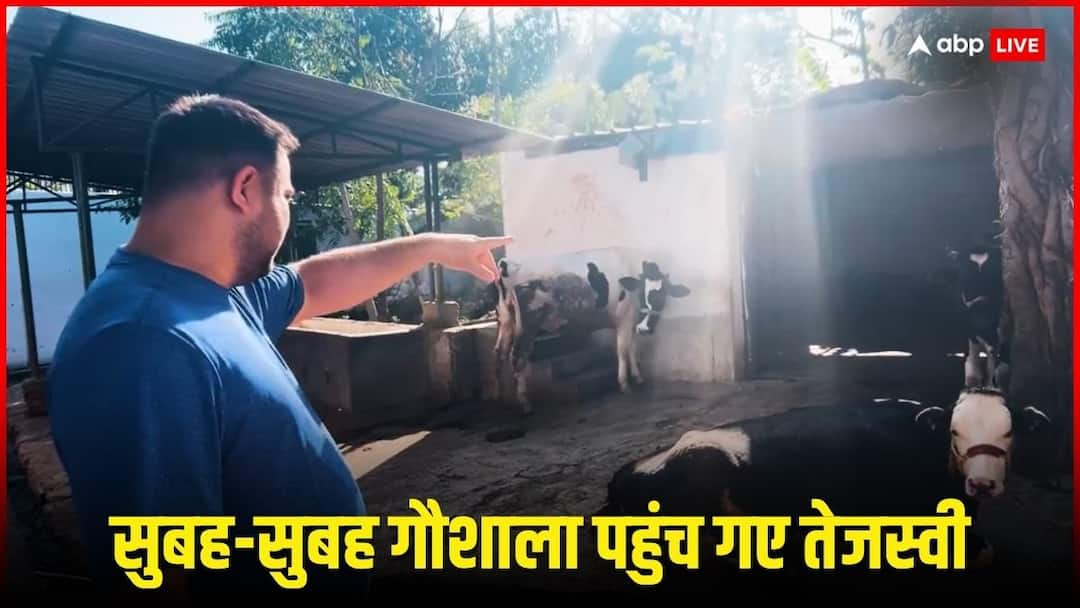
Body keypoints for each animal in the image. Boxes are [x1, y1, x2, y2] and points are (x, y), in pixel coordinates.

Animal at [493, 248, 692, 414]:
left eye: (662, 294)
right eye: (644, 293)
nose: (645, 329)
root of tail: (505, 262)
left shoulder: (632, 321)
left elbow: (632, 348)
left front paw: (637, 376)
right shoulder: (625, 318)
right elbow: (622, 349)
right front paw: (624, 383)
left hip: (507, 322)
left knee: (499, 354)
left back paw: (502, 398)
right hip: (526, 327)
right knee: (517, 357)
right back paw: (524, 402)